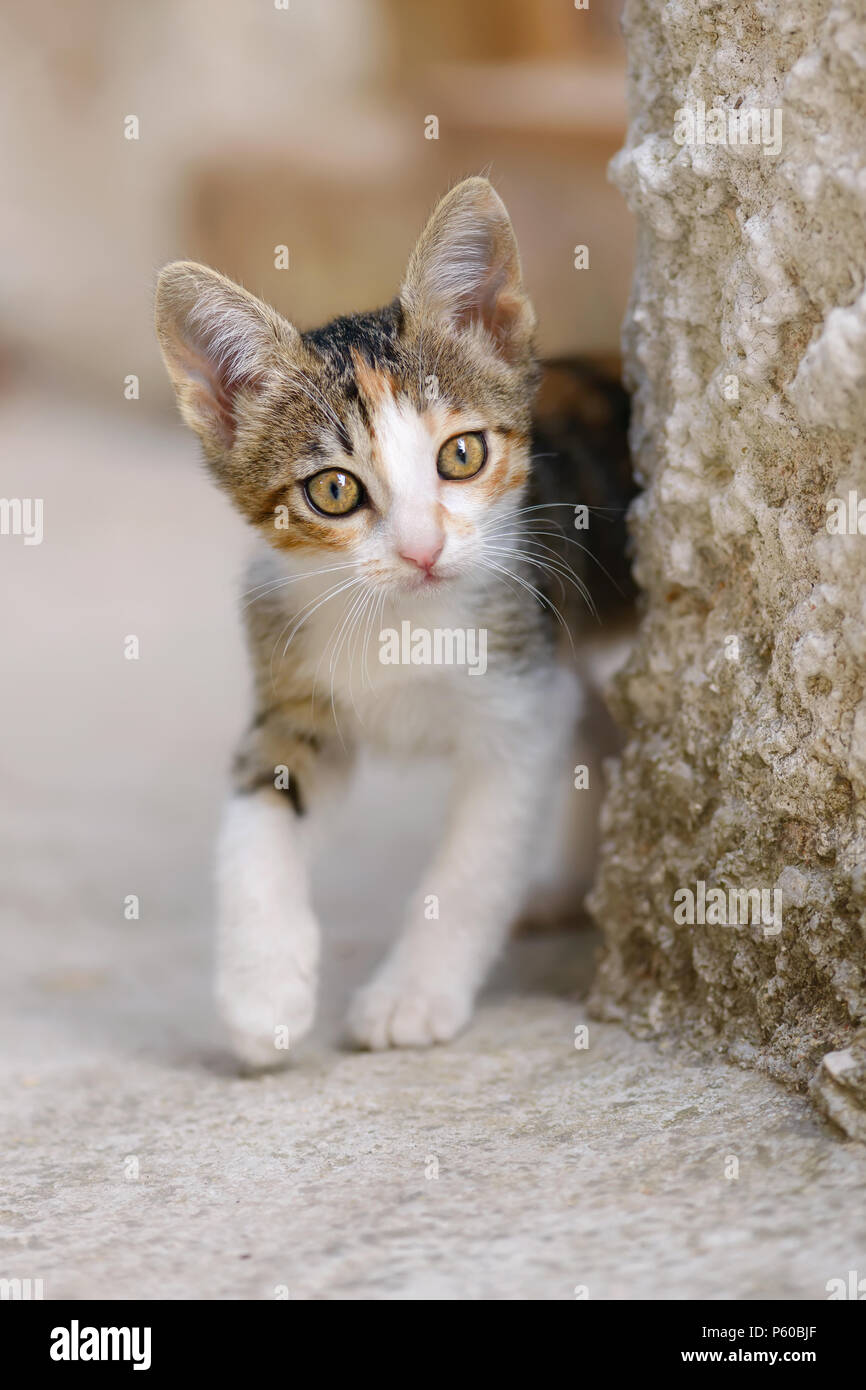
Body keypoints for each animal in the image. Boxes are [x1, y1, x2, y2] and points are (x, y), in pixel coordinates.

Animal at [155, 173, 633, 1061]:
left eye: (462, 455)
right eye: (334, 491)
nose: (422, 549)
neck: (401, 618)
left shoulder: (523, 702)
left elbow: (473, 865)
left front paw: (412, 993)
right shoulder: (292, 693)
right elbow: (254, 818)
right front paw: (260, 993)